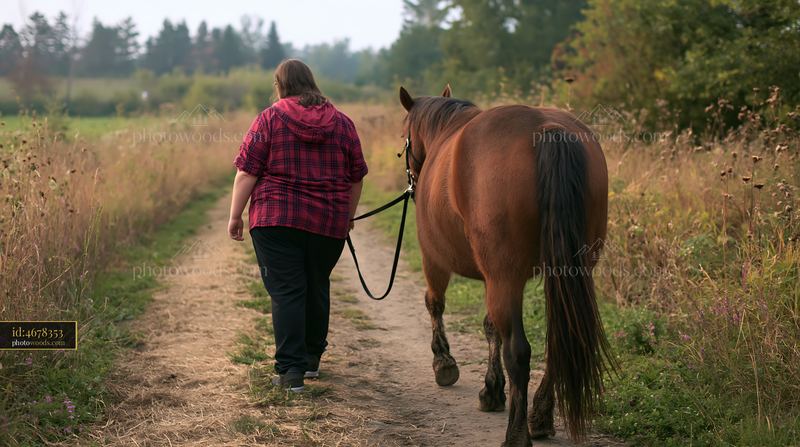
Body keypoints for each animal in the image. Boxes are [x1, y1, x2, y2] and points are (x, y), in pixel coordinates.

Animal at [398, 85, 614, 446]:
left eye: (405, 139)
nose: (413, 184)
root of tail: (547, 129)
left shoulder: (434, 258)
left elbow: (435, 304)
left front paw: (444, 363)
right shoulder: (493, 276)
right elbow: (490, 327)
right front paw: (492, 389)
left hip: (505, 277)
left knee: (519, 352)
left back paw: (517, 434)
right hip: (562, 272)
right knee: (557, 344)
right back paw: (540, 416)